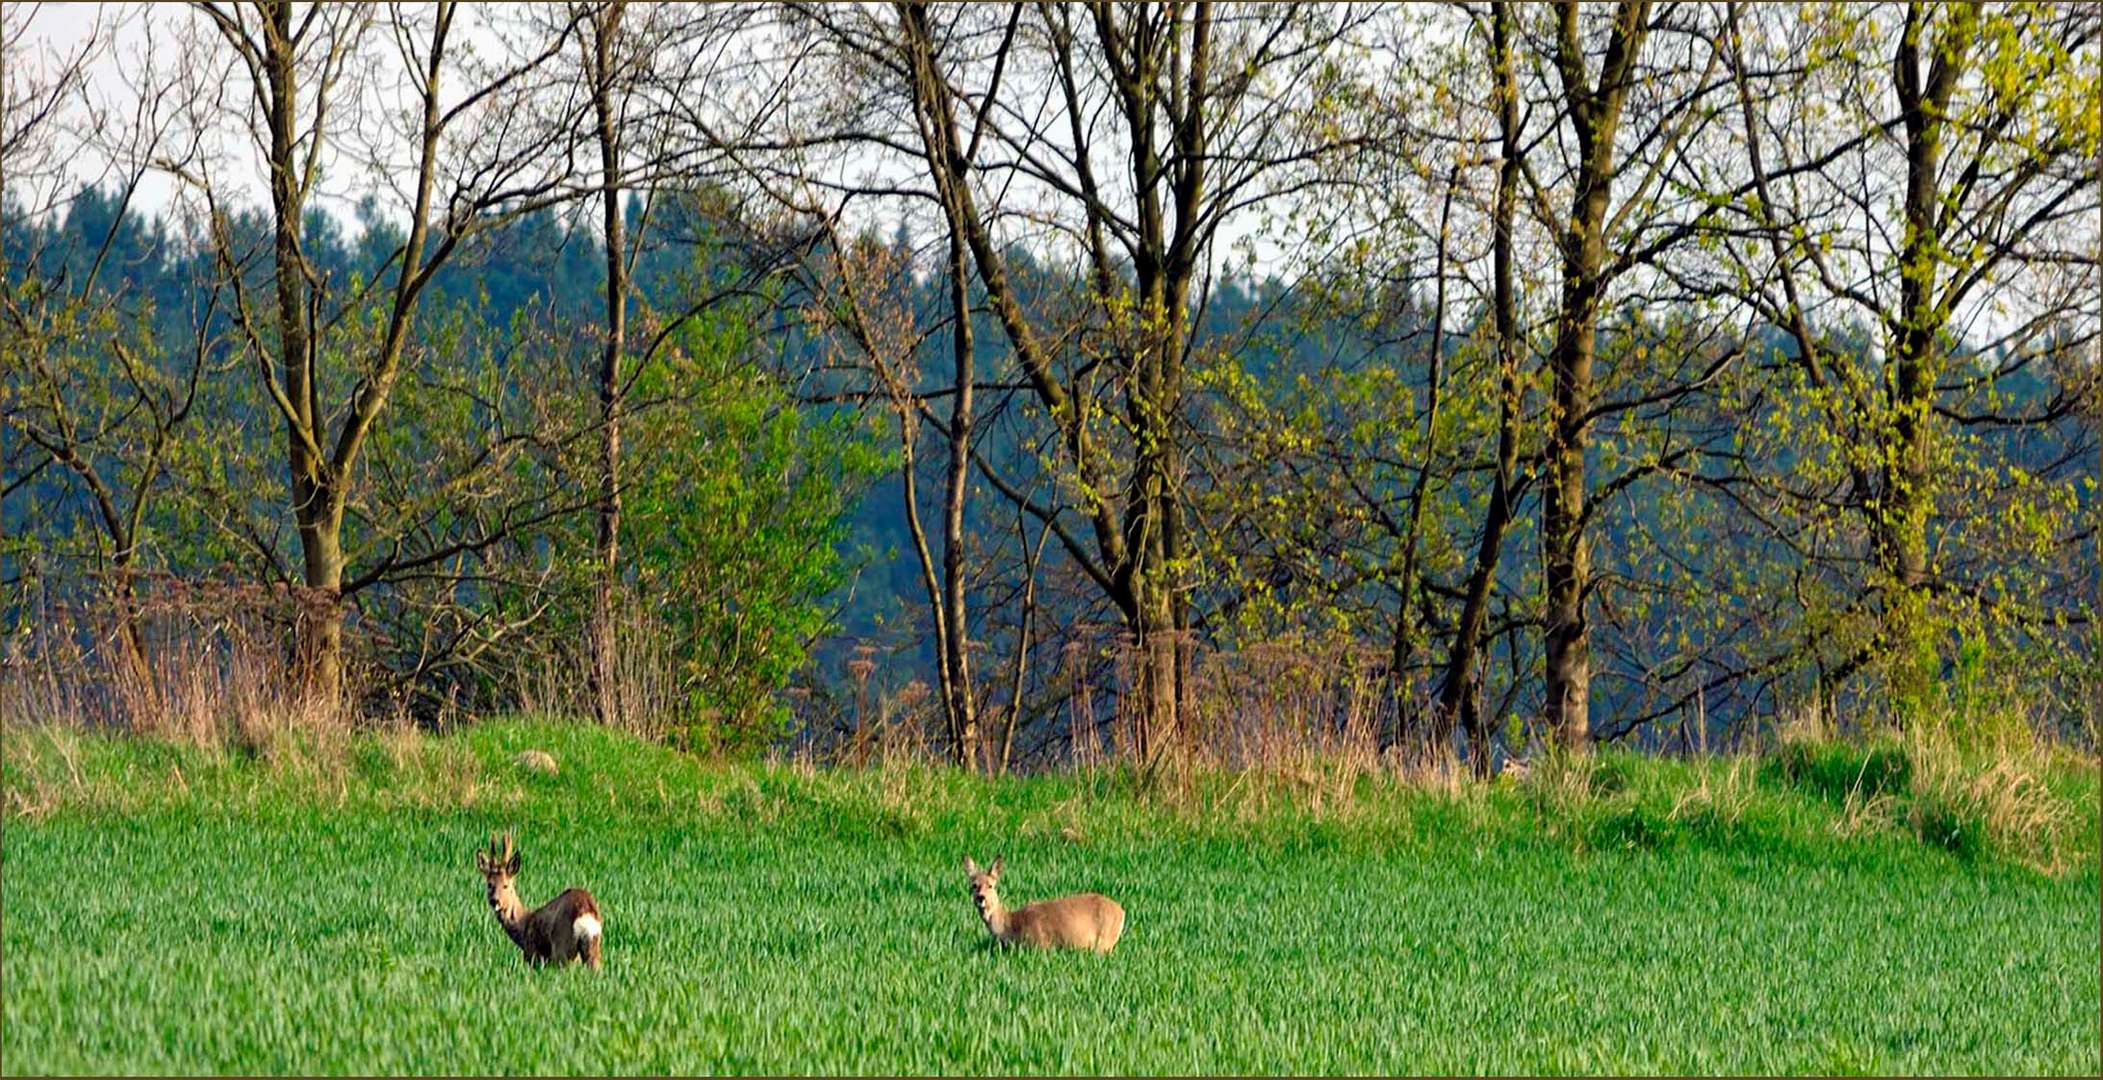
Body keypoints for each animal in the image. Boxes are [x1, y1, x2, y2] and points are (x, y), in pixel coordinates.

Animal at [475, 827, 601, 970]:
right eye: (490, 884)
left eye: (505, 885)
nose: (495, 901)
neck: (524, 926)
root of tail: (586, 913)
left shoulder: (532, 955)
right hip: (592, 947)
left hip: (562, 948)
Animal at [967, 853, 1135, 945]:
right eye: (974, 885)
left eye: (991, 885)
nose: (981, 898)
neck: (1011, 926)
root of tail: (1121, 911)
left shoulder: (1040, 944)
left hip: (1105, 940)